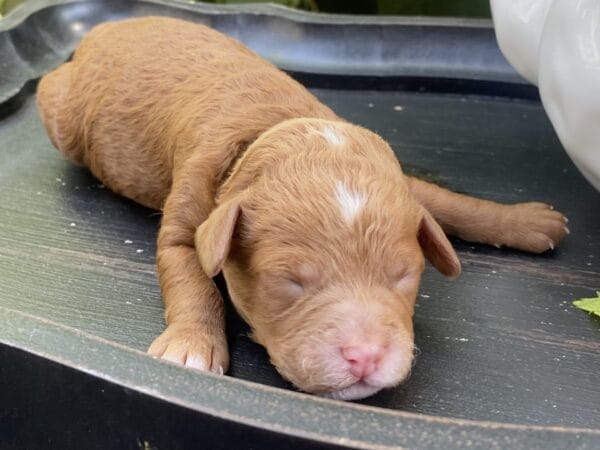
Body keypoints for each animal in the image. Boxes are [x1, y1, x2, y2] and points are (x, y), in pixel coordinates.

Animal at [36, 15, 568, 400]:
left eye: (404, 276)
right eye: (290, 282)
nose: (365, 357)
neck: (290, 129)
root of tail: (105, 28)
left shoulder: (398, 178)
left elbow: (444, 201)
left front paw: (527, 219)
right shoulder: (188, 215)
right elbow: (192, 279)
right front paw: (191, 348)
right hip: (61, 110)